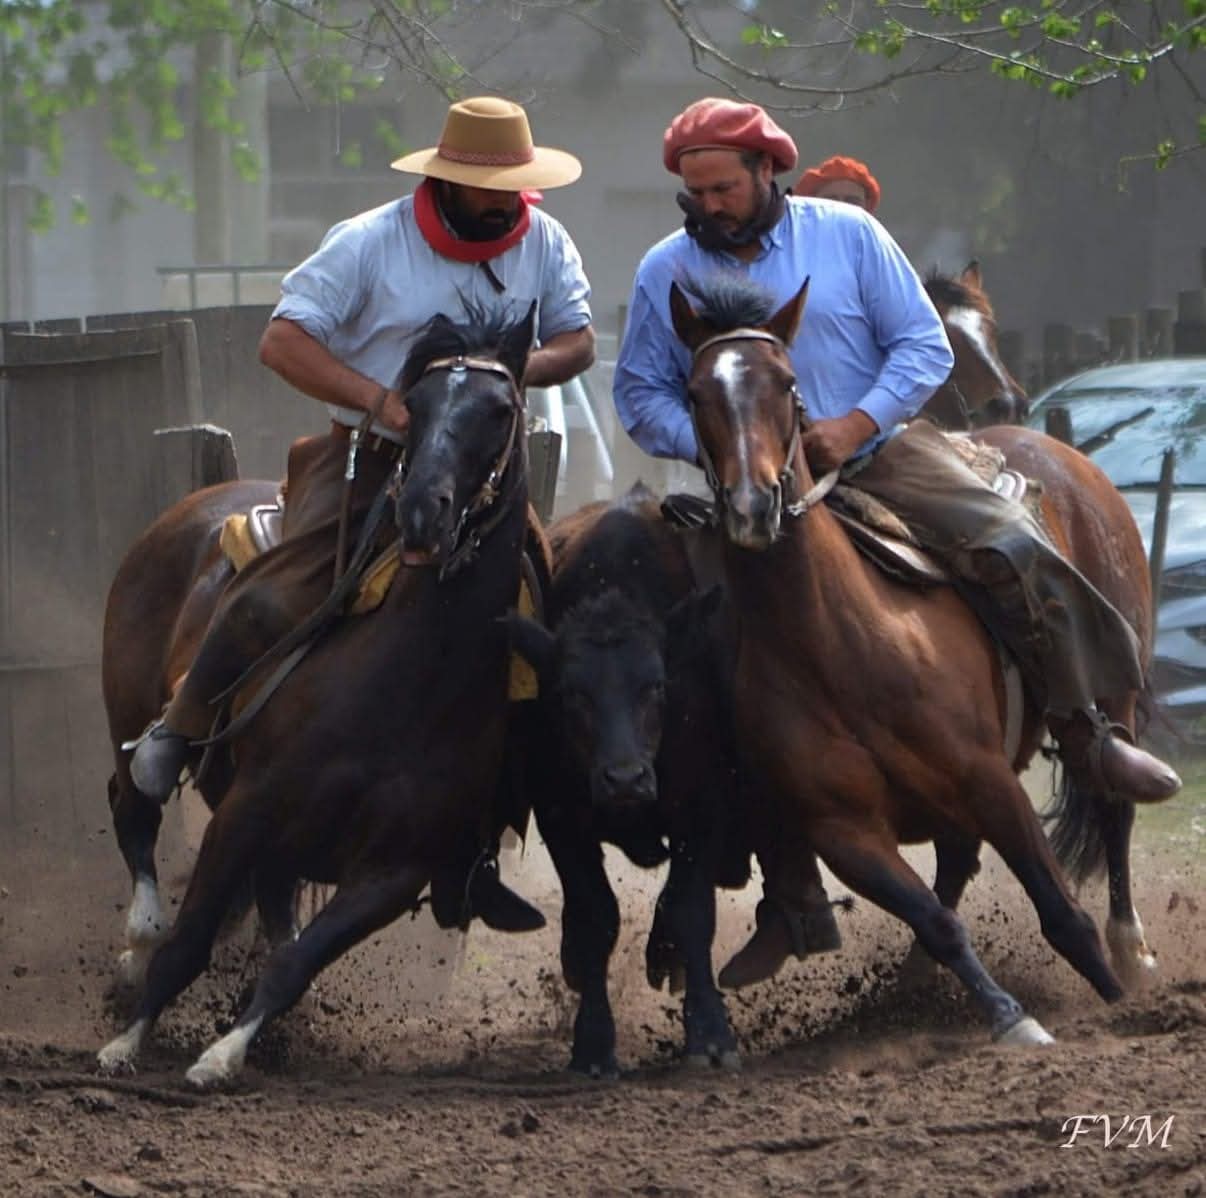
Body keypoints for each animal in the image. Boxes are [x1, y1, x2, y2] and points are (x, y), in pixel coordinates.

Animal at [507, 482, 746, 1075]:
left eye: (656, 685)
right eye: (572, 693)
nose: (624, 779)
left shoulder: (703, 807)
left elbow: (690, 911)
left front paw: (710, 1034)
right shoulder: (561, 817)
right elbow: (596, 918)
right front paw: (593, 1043)